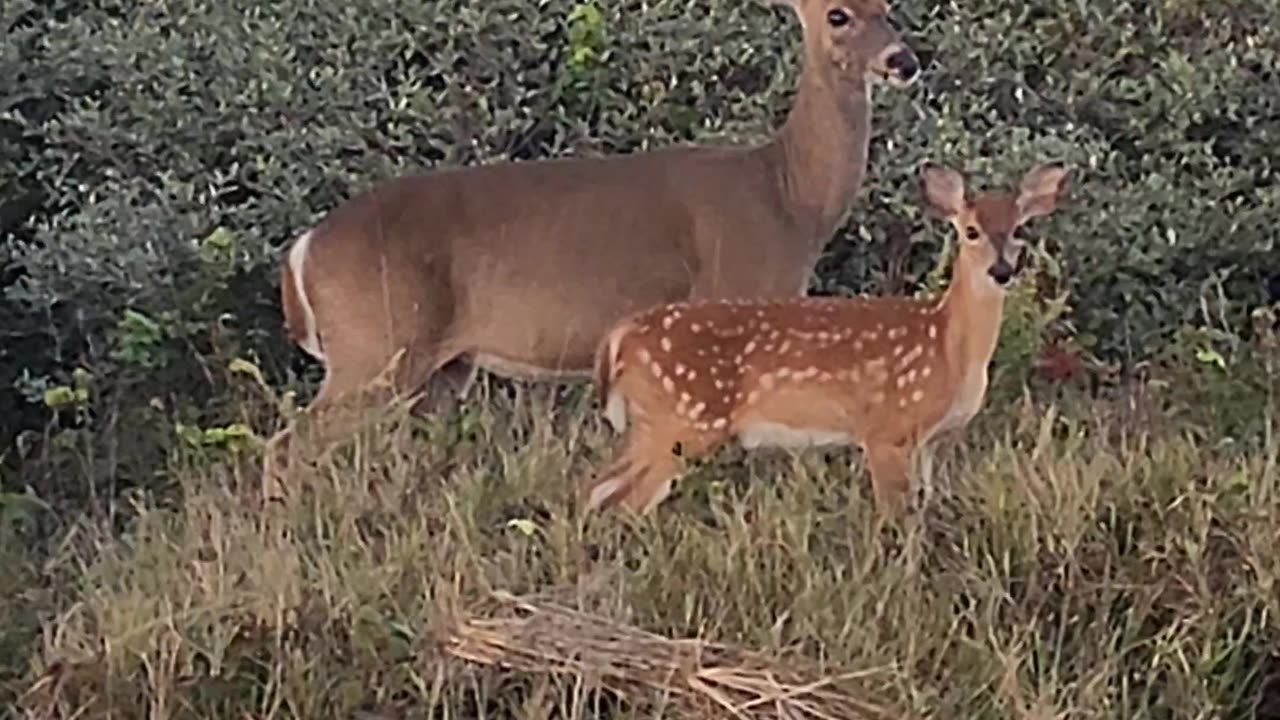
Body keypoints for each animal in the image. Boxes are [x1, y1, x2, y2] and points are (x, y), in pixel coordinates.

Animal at [264, 1, 921, 481]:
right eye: (838, 14)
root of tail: (304, 248)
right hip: (375, 347)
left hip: (439, 368)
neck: (788, 199)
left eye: (890, 7)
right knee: (286, 444)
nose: (904, 60)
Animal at [586, 161, 1070, 515]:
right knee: (624, 500)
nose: (1002, 271)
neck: (948, 346)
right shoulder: (886, 430)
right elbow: (895, 519)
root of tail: (620, 336)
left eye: (1019, 229)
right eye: (970, 231)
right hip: (684, 418)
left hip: (655, 423)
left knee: (597, 489)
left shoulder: (933, 442)